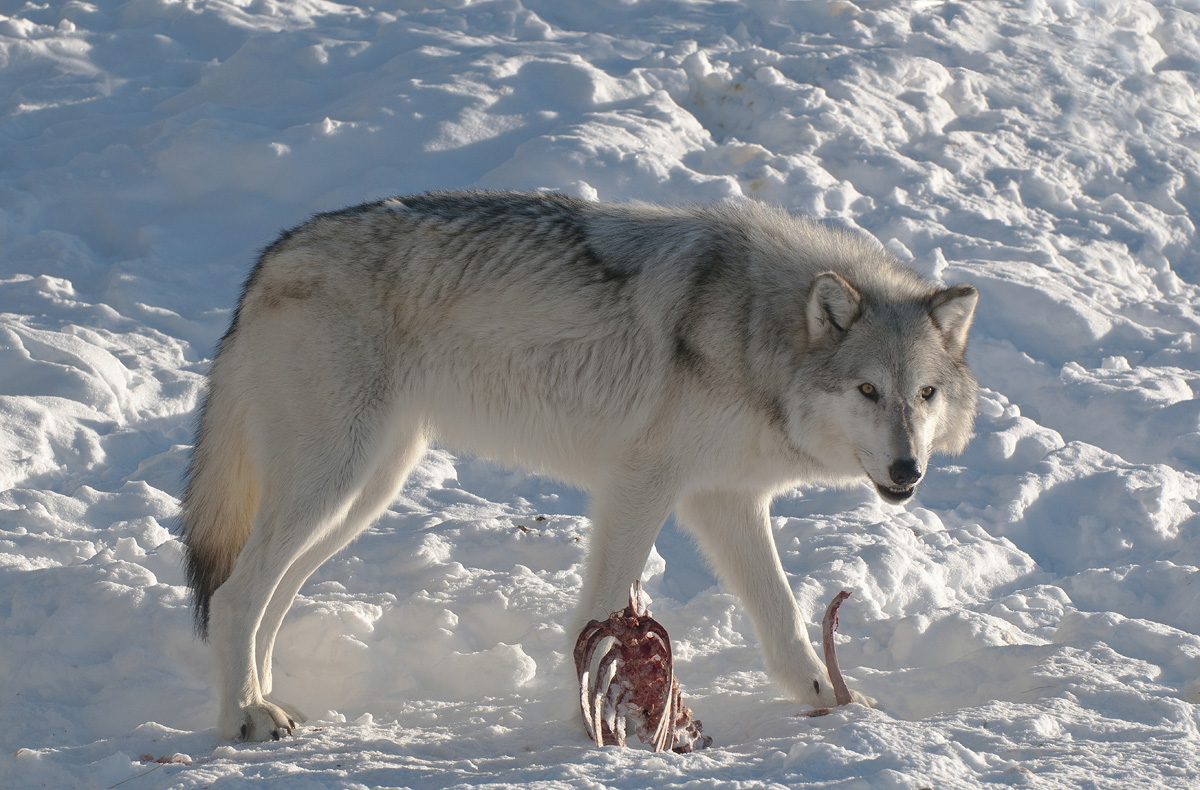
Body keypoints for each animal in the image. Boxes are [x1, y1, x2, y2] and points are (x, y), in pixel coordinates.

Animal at [181, 191, 978, 741]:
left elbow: (781, 616)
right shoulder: (641, 485)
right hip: (334, 481)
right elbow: (602, 605)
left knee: (269, 595)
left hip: (364, 492)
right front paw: (601, 725)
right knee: (235, 594)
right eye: (867, 390)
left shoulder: (724, 499)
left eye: (925, 394)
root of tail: (272, 255)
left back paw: (263, 696)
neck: (756, 333)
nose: (908, 471)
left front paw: (830, 700)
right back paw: (245, 716)